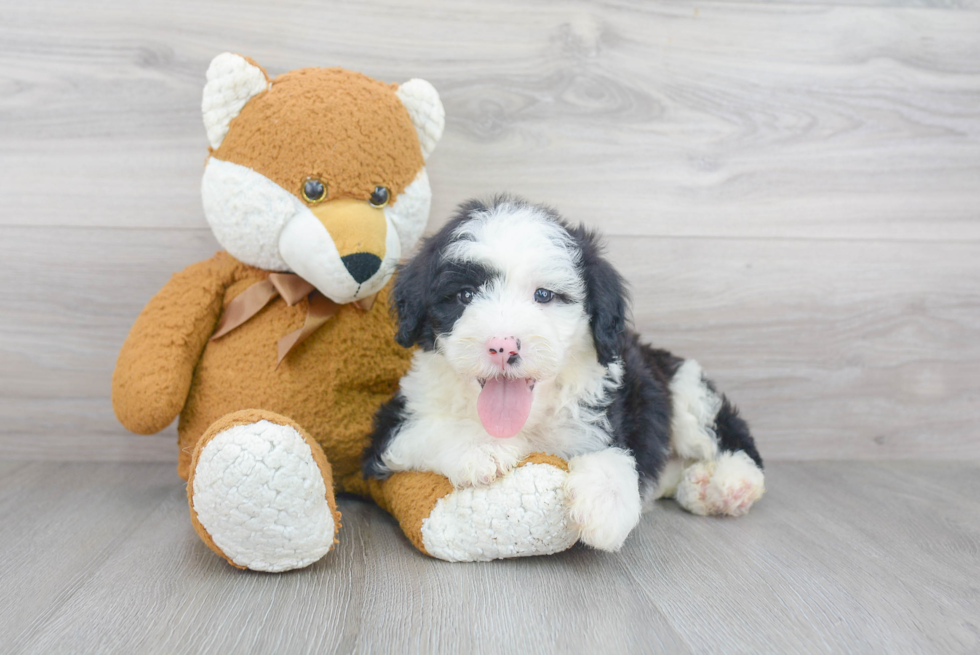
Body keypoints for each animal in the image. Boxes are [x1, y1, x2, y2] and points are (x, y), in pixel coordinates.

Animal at [362, 197, 764, 552]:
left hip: (684, 387)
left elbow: (618, 449)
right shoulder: (391, 427)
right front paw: (480, 447)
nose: (502, 346)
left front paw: (605, 503)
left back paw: (730, 482)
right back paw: (698, 486)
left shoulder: (610, 408)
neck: (529, 421)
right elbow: (429, 428)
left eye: (544, 295)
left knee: (728, 434)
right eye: (464, 295)